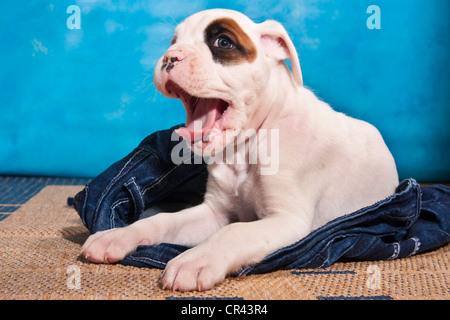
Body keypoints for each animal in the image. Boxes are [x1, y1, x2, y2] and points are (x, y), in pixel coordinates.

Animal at [81, 8, 398, 292]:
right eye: (173, 41)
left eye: (223, 43)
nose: (171, 56)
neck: (245, 145)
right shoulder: (214, 212)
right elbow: (162, 219)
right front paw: (119, 235)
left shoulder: (287, 220)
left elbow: (234, 232)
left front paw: (195, 260)